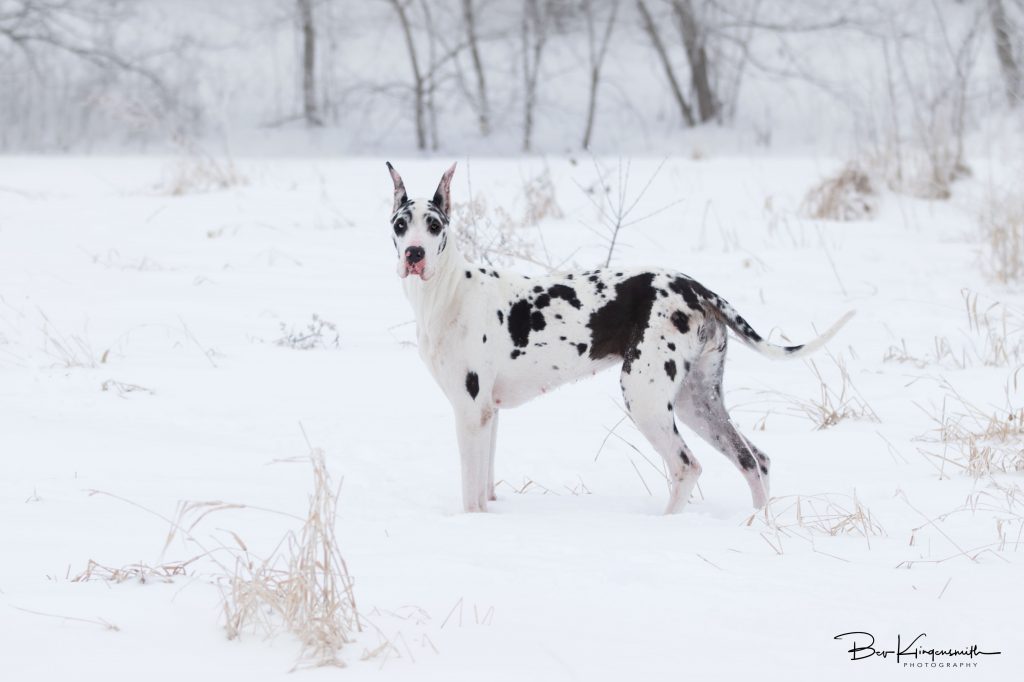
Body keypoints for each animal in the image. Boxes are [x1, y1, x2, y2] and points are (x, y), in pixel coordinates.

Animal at [387, 160, 851, 509]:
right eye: (400, 224)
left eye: (434, 225)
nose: (414, 254)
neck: (447, 292)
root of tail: (695, 286)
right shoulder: (489, 414)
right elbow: (485, 488)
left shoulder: (469, 413)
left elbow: (471, 497)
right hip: (698, 402)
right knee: (755, 460)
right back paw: (757, 524)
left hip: (645, 397)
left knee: (687, 466)